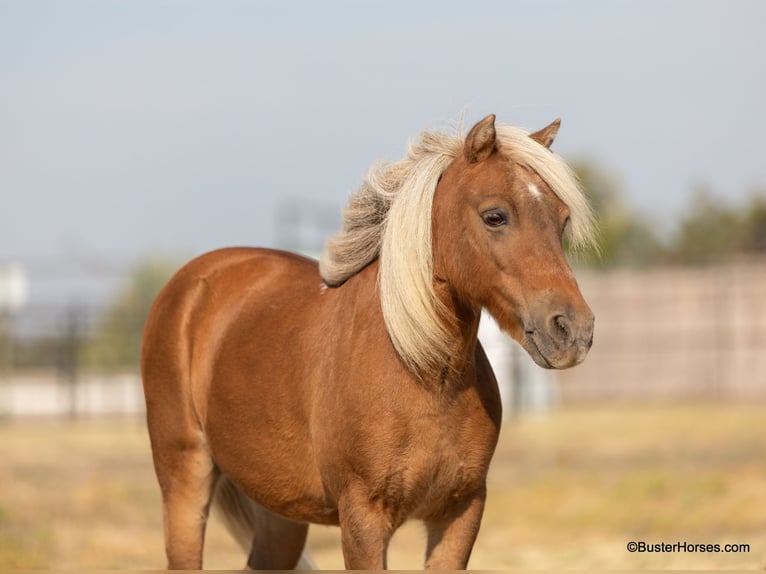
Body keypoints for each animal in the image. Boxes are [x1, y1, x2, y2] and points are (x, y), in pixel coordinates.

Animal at [142, 113, 600, 572]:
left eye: (561, 219)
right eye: (495, 216)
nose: (572, 330)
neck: (424, 375)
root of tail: (193, 283)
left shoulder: (461, 512)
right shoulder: (363, 519)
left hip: (279, 512)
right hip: (185, 481)